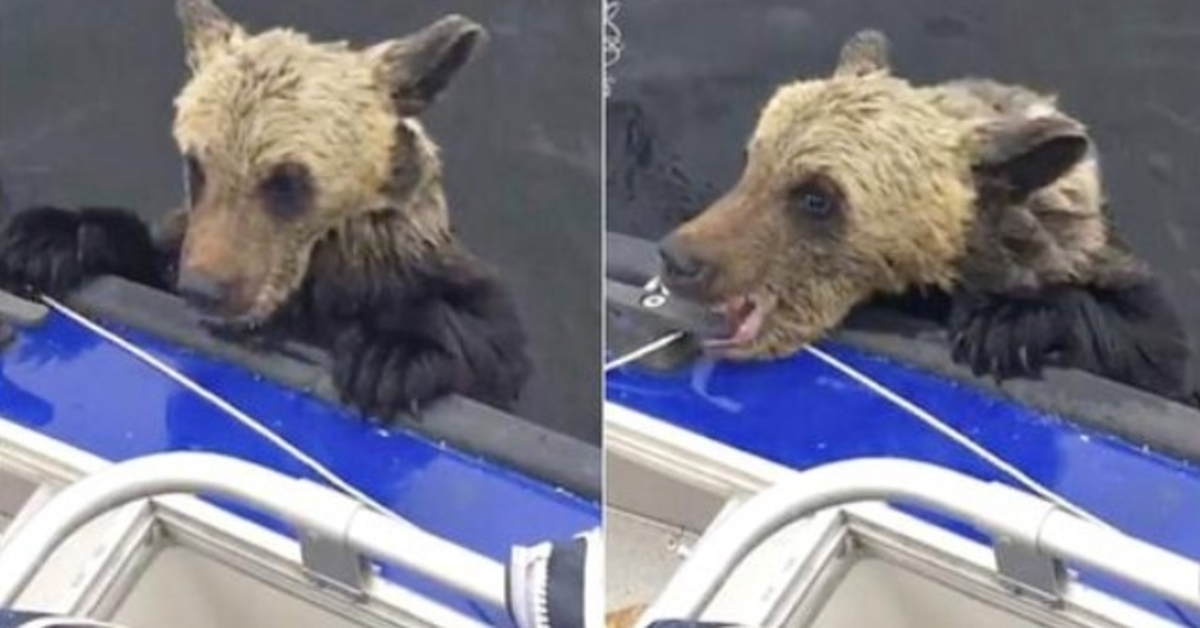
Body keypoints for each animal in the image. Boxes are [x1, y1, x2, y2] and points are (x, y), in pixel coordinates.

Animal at [0, 0, 531, 420]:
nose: (205, 288)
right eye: (196, 163)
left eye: (287, 180)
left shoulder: (413, 263)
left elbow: (491, 342)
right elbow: (143, 255)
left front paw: (389, 357)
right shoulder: (177, 247)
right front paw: (43, 240)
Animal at [656, 30, 1194, 405]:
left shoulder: (1091, 262)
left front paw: (1002, 329)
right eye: (752, 158)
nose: (679, 258)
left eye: (817, 197)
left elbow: (1152, 347)